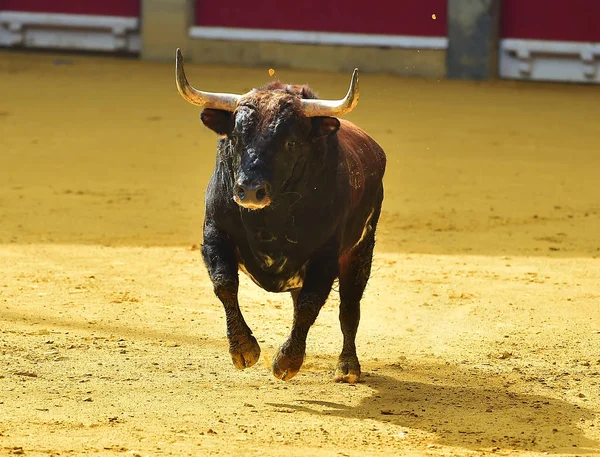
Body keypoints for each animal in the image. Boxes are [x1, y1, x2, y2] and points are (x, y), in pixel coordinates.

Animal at [176, 49, 386, 382]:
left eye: (291, 142)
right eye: (236, 137)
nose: (250, 191)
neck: (269, 221)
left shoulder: (326, 254)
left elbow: (312, 304)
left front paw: (287, 361)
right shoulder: (214, 234)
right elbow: (224, 283)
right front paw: (244, 350)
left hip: (361, 250)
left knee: (349, 306)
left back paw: (347, 367)